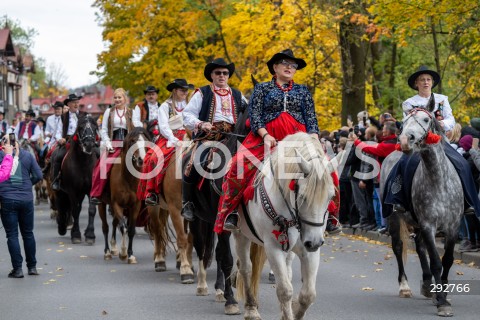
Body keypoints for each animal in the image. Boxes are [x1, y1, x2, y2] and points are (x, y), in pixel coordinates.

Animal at [55, 114, 98, 244]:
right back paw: (62, 227)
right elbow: (75, 210)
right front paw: (76, 234)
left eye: (95, 128)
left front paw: (90, 235)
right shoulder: (72, 191)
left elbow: (91, 210)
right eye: (80, 127)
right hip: (60, 191)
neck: (83, 163)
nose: (88, 144)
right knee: (61, 206)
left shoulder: (91, 190)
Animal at [97, 126, 150, 264]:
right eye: (133, 141)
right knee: (105, 227)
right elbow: (123, 228)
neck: (127, 178)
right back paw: (107, 252)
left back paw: (114, 248)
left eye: (145, 141)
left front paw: (130, 255)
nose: (142, 160)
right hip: (101, 204)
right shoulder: (117, 204)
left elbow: (130, 230)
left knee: (114, 223)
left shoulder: (134, 206)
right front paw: (124, 253)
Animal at [234, 132, 336, 320]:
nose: (314, 242)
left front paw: (294, 311)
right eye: (302, 196)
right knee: (245, 268)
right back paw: (251, 309)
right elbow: (285, 290)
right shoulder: (273, 248)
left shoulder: (309, 250)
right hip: (240, 234)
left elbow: (308, 294)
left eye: (331, 197)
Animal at [378, 94, 464, 316]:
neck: (438, 180)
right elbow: (436, 262)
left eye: (426, 119)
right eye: (404, 121)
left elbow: (447, 260)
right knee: (399, 247)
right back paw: (405, 287)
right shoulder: (427, 225)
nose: (404, 141)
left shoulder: (452, 226)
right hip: (395, 218)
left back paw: (427, 286)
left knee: (419, 246)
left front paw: (442, 294)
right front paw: (441, 302)